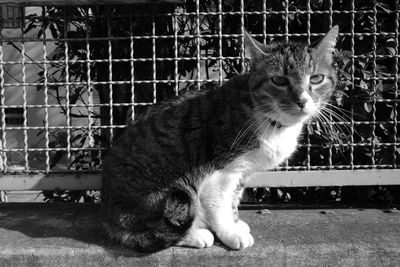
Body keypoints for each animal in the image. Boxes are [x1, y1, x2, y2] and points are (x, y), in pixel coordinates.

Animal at [101, 26, 340, 252]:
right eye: (279, 80)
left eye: (316, 78)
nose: (302, 100)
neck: (269, 119)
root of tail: (108, 215)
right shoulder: (221, 169)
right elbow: (219, 205)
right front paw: (231, 233)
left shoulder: (243, 170)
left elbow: (233, 199)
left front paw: (236, 223)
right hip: (170, 190)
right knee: (159, 226)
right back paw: (195, 235)